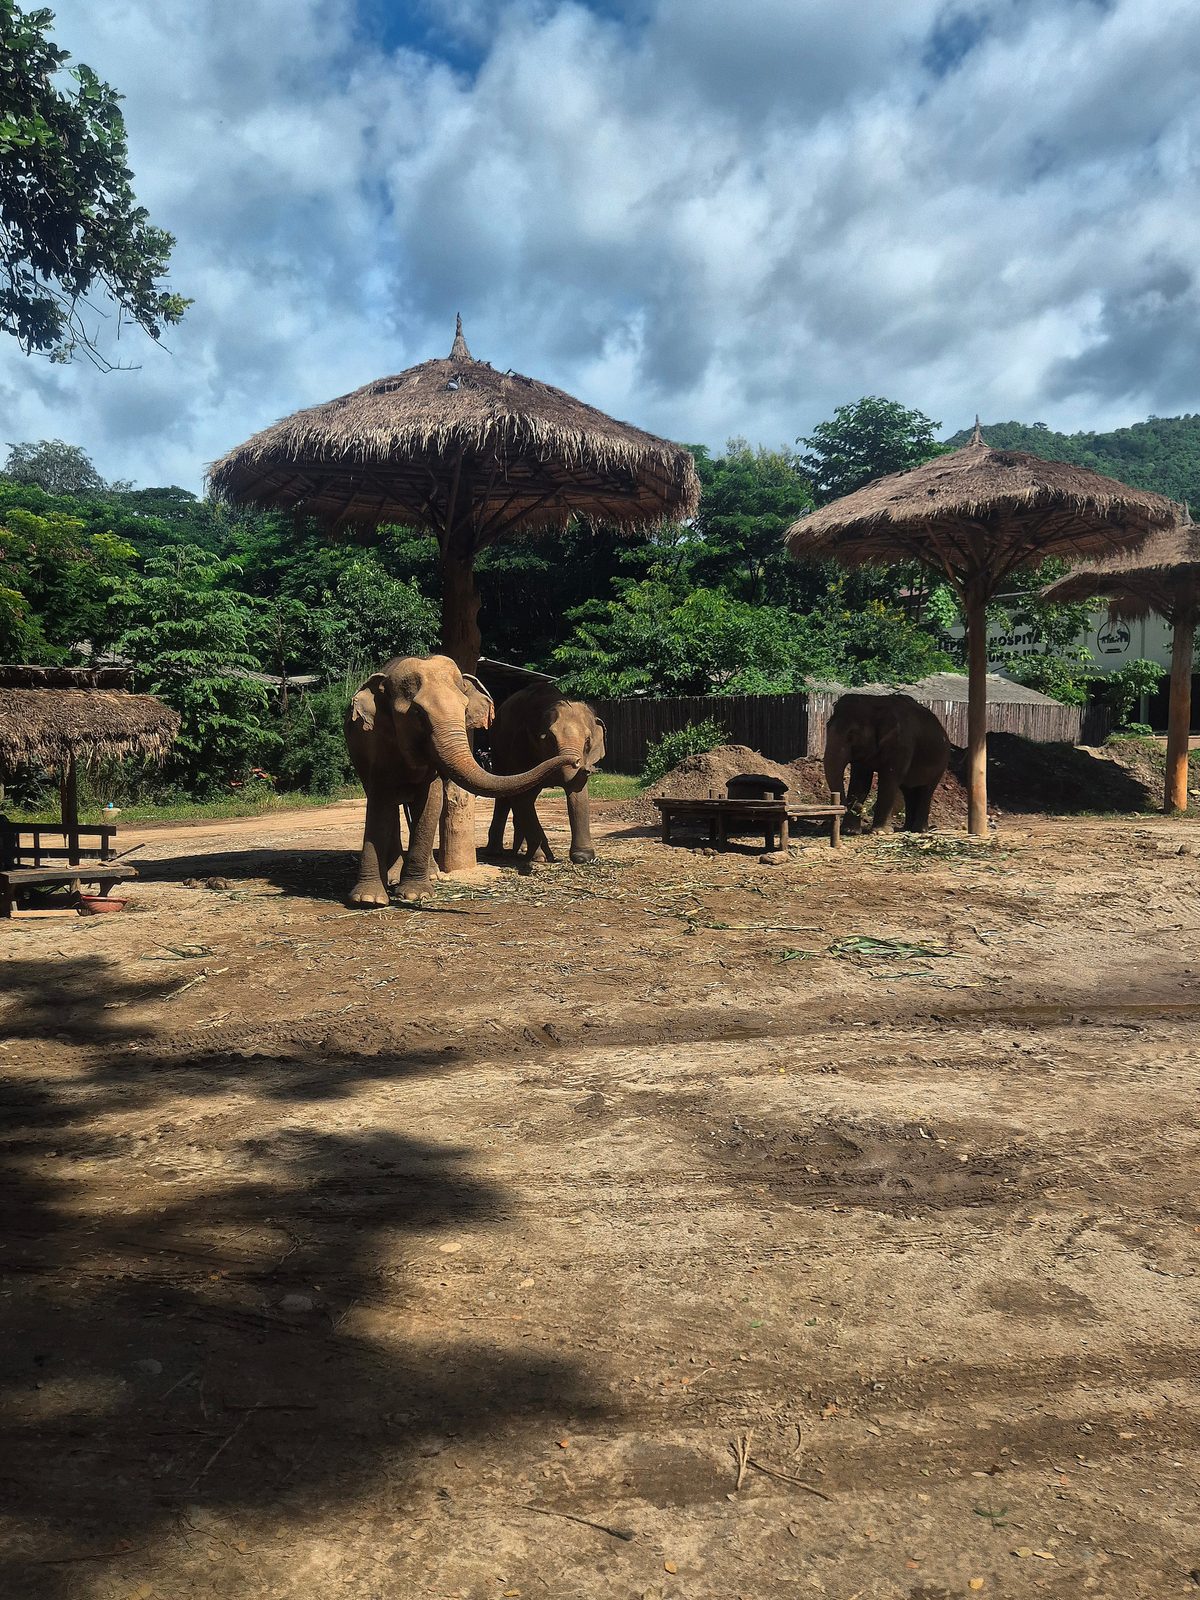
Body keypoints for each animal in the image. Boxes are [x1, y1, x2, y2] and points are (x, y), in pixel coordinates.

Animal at [344, 654, 582, 906]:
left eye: (465, 708)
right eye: (417, 713)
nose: (576, 761)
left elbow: (431, 803)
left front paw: (415, 894)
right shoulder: (375, 746)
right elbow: (379, 802)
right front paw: (368, 899)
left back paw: (431, 875)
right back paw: (393, 877)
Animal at [485, 685, 606, 865]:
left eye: (587, 741)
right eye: (549, 738)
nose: (582, 766)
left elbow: (578, 792)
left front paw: (583, 857)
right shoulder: (521, 748)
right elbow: (520, 797)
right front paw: (541, 857)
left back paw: (521, 850)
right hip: (498, 749)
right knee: (504, 795)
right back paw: (496, 852)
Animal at [823, 692, 950, 834]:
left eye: (852, 735)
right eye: (827, 726)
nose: (845, 807)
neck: (875, 702)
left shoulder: (901, 744)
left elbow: (889, 778)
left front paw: (881, 832)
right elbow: (860, 781)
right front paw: (850, 831)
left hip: (941, 764)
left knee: (926, 790)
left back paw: (919, 830)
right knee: (908, 790)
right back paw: (907, 828)